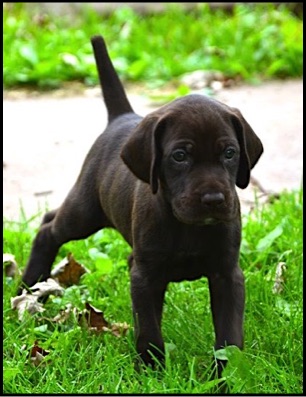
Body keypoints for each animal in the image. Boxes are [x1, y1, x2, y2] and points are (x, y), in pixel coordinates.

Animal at [19, 35, 262, 372]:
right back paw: (28, 284)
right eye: (179, 156)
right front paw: (152, 369)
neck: (187, 226)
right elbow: (148, 327)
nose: (214, 200)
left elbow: (229, 332)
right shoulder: (146, 277)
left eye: (229, 153)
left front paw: (225, 373)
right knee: (49, 227)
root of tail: (121, 117)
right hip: (85, 212)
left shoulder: (226, 273)